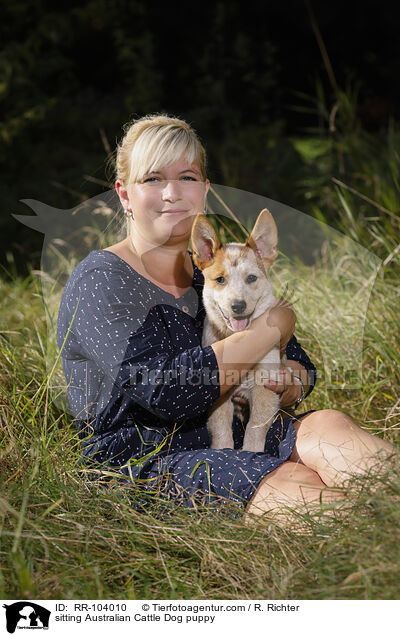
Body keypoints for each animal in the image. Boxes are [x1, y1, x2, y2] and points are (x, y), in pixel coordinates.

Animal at [191, 209, 282, 452]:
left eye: (251, 278)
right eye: (220, 279)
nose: (238, 306)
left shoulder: (265, 388)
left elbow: (255, 427)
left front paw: (252, 452)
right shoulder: (218, 395)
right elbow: (221, 428)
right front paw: (223, 451)